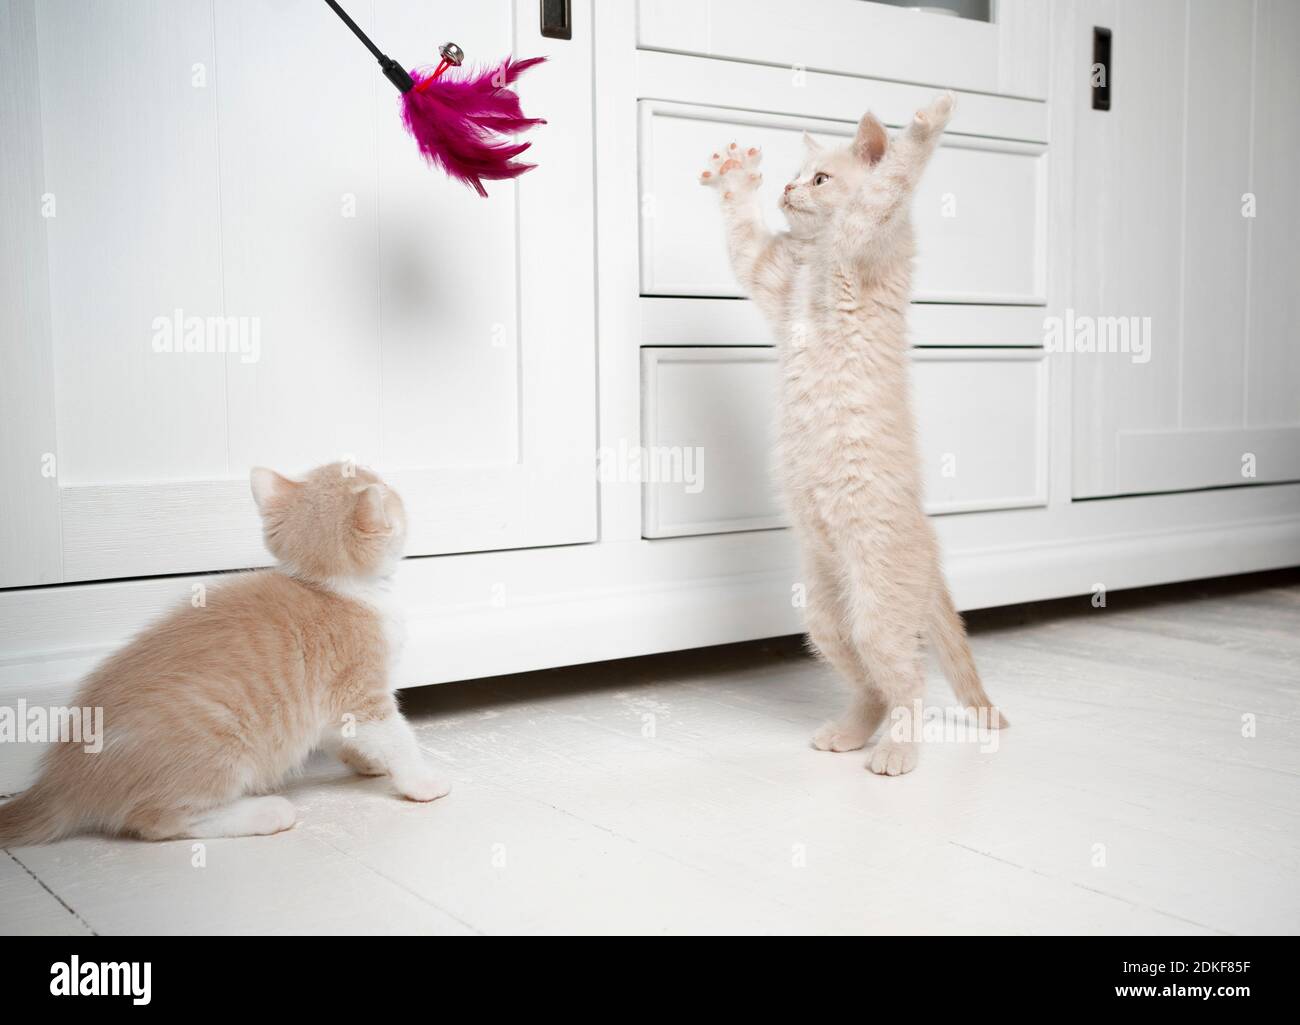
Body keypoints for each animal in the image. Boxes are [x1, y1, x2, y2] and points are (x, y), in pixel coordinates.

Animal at [702, 94, 1003, 775]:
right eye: (793, 176)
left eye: (819, 179)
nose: (787, 189)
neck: (817, 258)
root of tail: (929, 545)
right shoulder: (772, 279)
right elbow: (743, 242)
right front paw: (736, 178)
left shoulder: (869, 236)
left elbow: (892, 180)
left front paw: (927, 120)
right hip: (823, 613)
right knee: (871, 685)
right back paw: (849, 733)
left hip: (877, 606)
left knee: (909, 682)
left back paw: (897, 753)